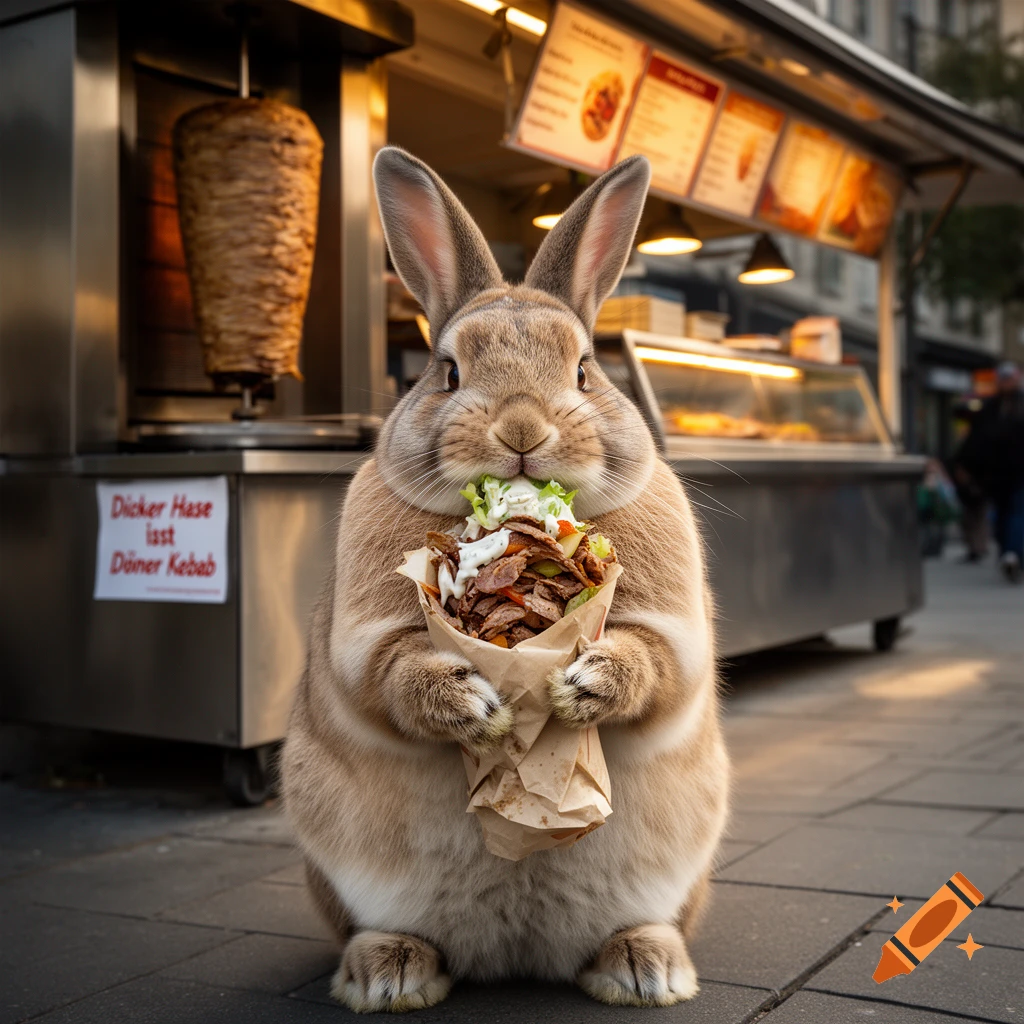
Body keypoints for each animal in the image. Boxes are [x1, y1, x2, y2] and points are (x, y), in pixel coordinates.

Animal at [282, 146, 730, 1012]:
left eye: (585, 370)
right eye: (448, 373)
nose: (523, 428)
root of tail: (517, 956)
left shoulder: (674, 633)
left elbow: (656, 663)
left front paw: (585, 684)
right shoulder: (363, 642)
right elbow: (388, 673)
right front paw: (473, 704)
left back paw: (645, 969)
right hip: (333, 861)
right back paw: (388, 974)